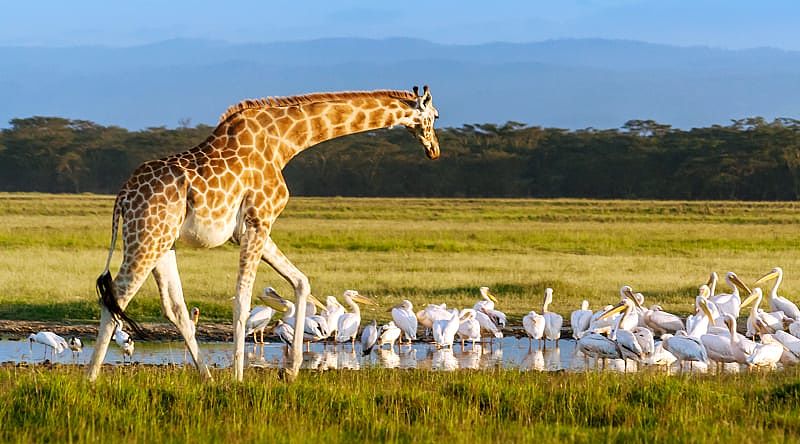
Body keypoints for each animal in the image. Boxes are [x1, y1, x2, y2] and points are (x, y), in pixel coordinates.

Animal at [86, 86, 444, 382]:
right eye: (436, 116)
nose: (434, 150)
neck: (286, 141)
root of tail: (122, 198)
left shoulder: (253, 228)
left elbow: (301, 281)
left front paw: (292, 370)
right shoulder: (259, 220)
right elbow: (243, 301)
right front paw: (239, 377)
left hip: (164, 244)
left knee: (174, 309)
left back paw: (207, 377)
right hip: (146, 238)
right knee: (116, 298)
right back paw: (91, 378)